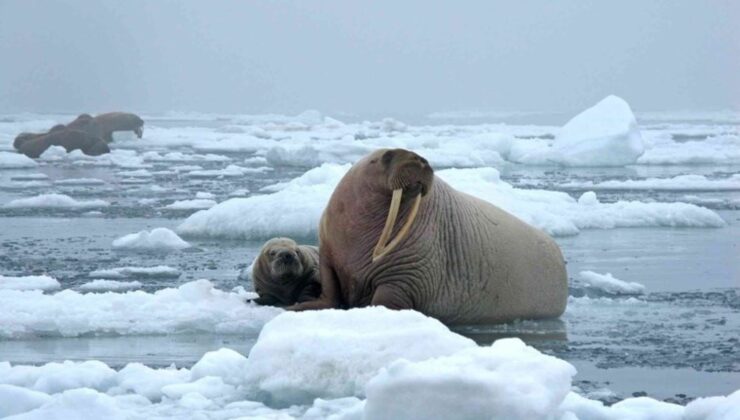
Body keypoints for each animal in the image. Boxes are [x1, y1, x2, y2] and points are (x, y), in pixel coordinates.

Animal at [290, 148, 568, 324]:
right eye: (387, 156)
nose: (421, 160)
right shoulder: (329, 252)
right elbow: (330, 289)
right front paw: (297, 307)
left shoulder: (407, 274)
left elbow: (387, 298)